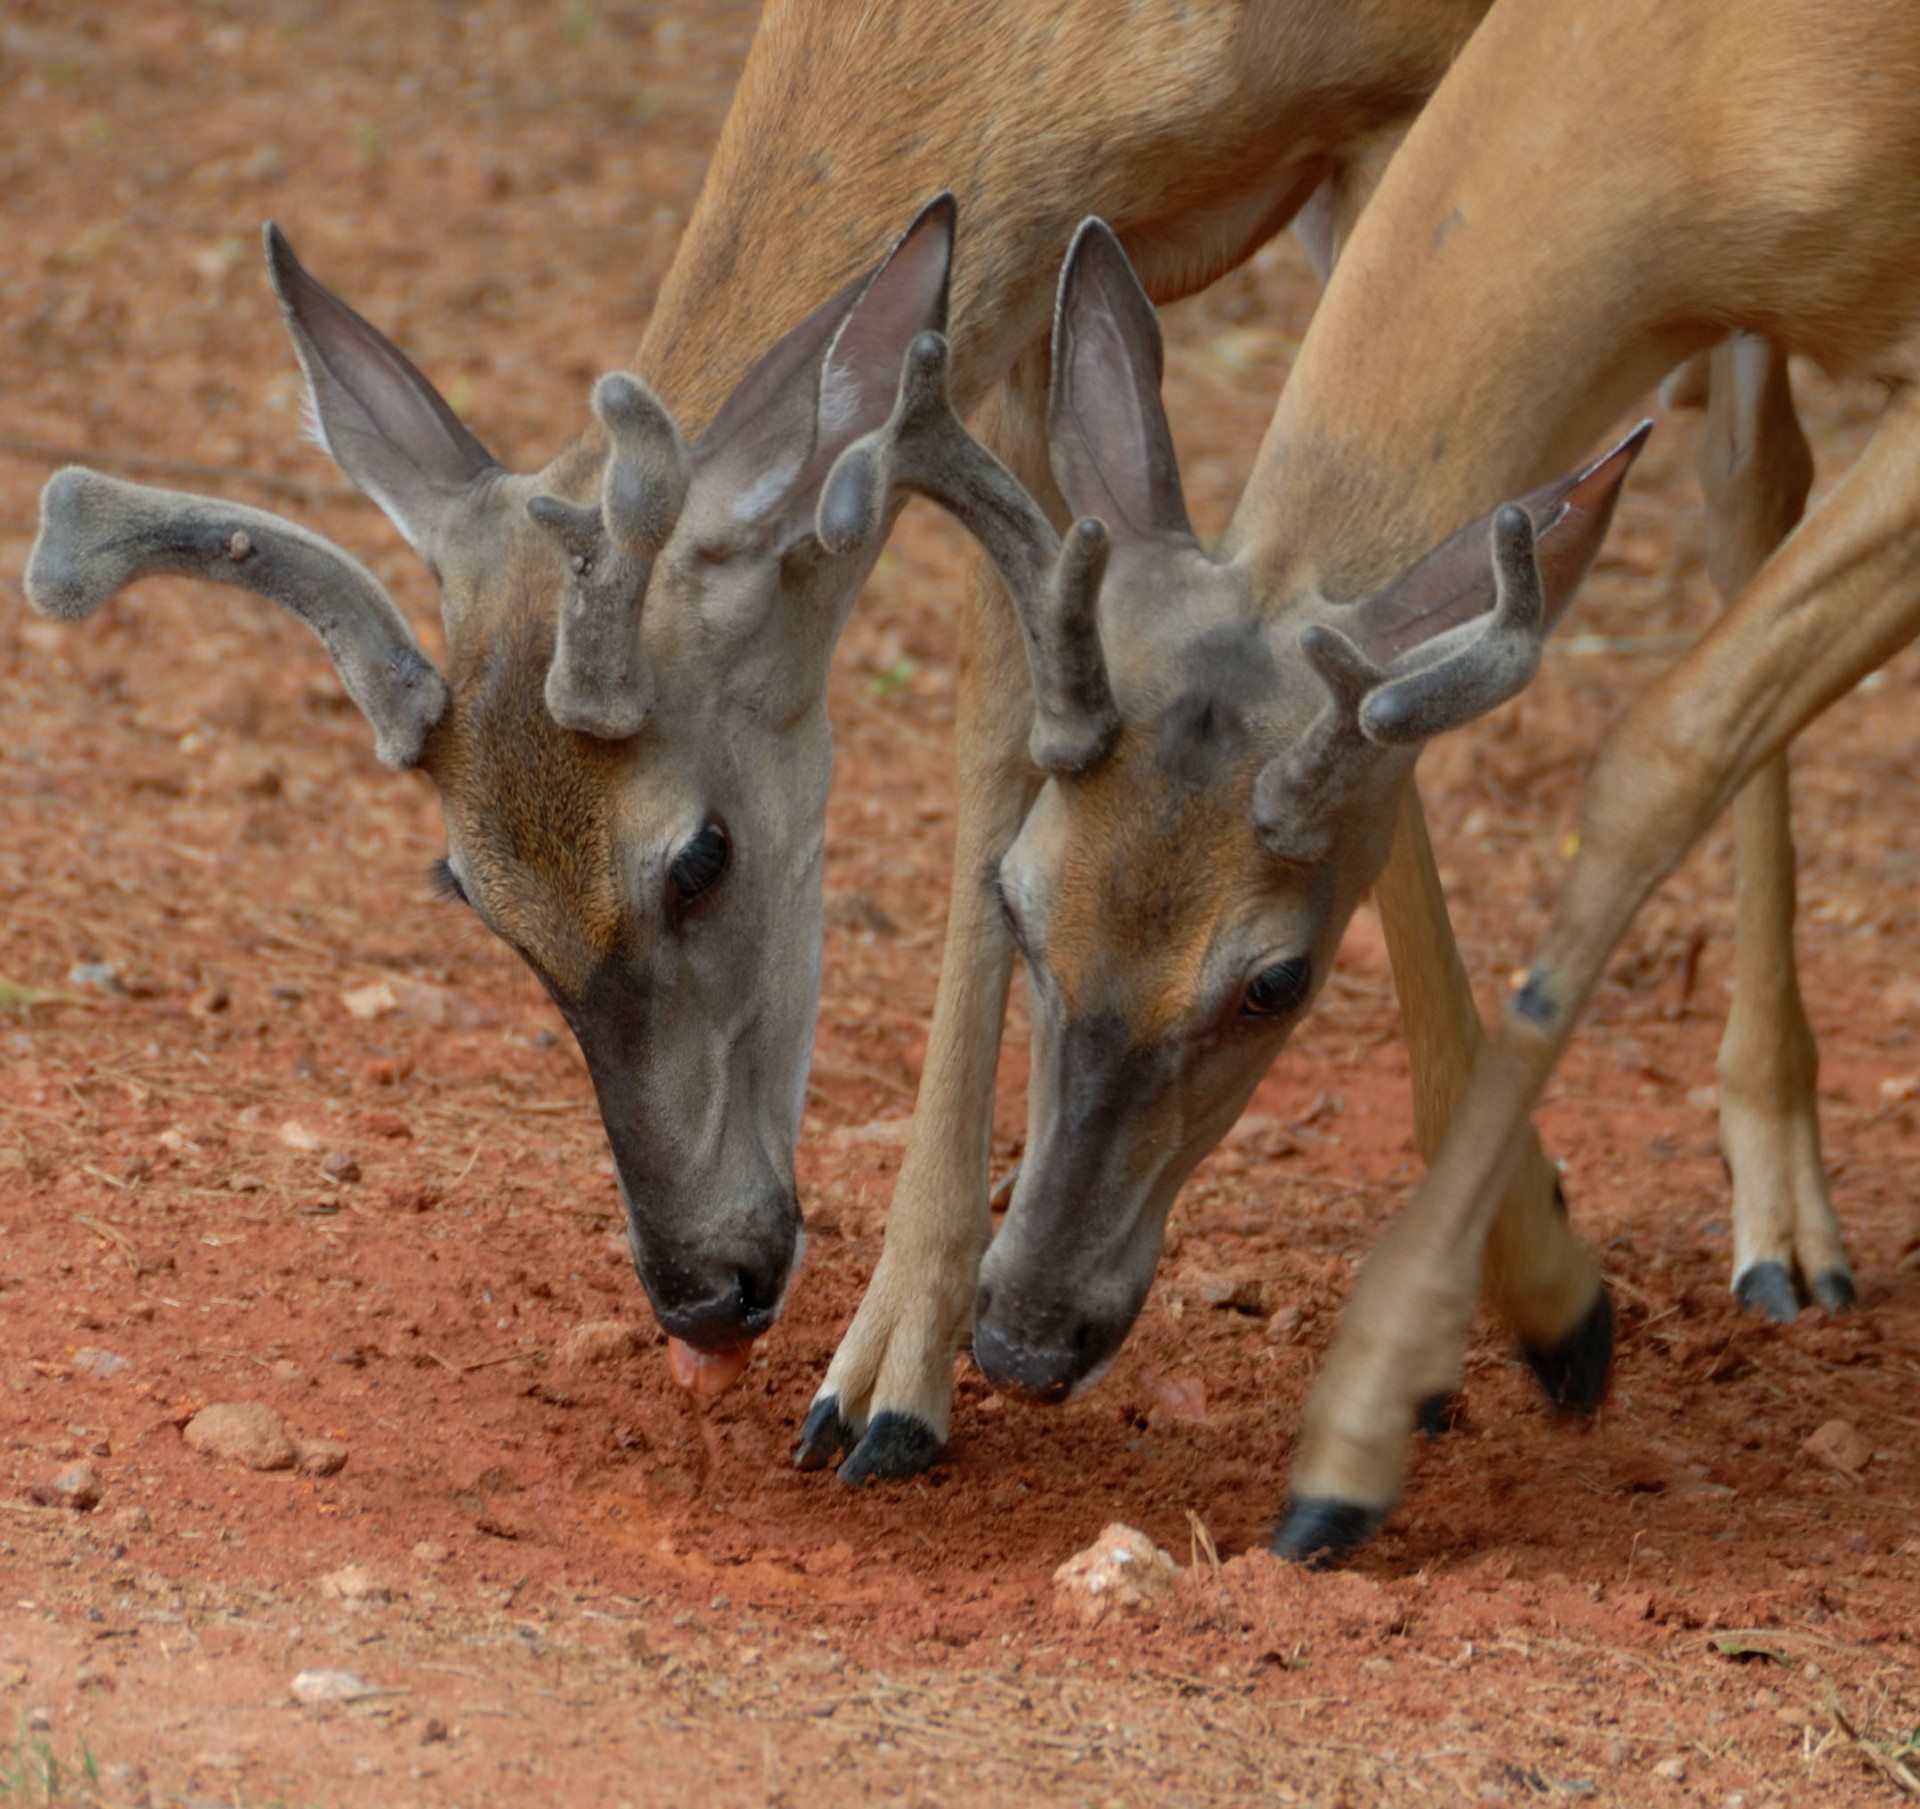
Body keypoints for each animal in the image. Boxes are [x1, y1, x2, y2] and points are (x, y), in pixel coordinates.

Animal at [18, 0, 1827, 1482]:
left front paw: (1537, 1300)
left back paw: (1787, 1222)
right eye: (469, 893)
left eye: (699, 856)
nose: (702, 1286)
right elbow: (1048, 725)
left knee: (1755, 481)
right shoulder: (1016, 316)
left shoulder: (1424, 134)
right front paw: (894, 1366)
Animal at [948, 0, 1920, 1567]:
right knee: (1746, 478)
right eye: (1018, 902)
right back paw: (1781, 1216)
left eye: (1274, 982)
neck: (1719, 85)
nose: (1027, 1335)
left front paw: (1363, 1431)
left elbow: (1659, 747)